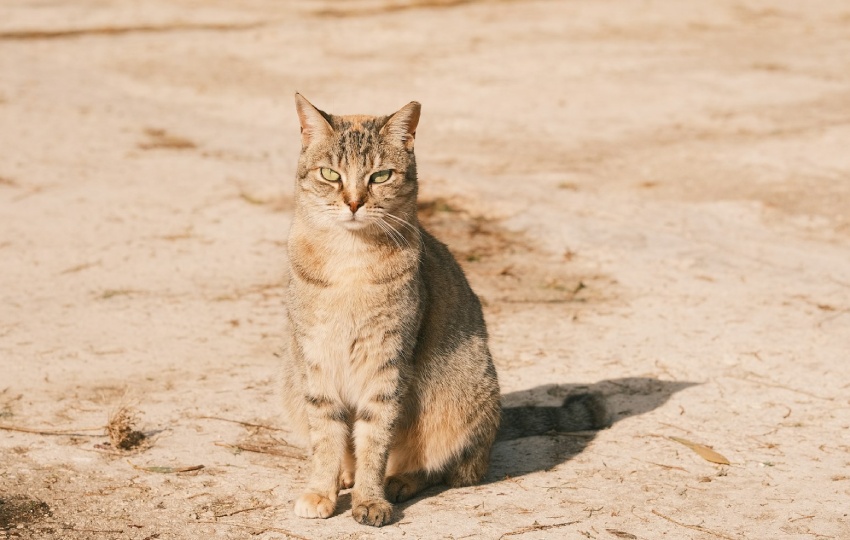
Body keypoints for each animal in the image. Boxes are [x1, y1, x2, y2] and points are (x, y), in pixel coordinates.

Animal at [278, 94, 604, 528]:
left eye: (380, 176)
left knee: (453, 468)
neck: (350, 258)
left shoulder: (387, 364)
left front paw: (370, 497)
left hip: (460, 395)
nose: (353, 203)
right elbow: (327, 437)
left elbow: (375, 440)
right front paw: (322, 488)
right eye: (330, 174)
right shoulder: (315, 360)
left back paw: (400, 481)